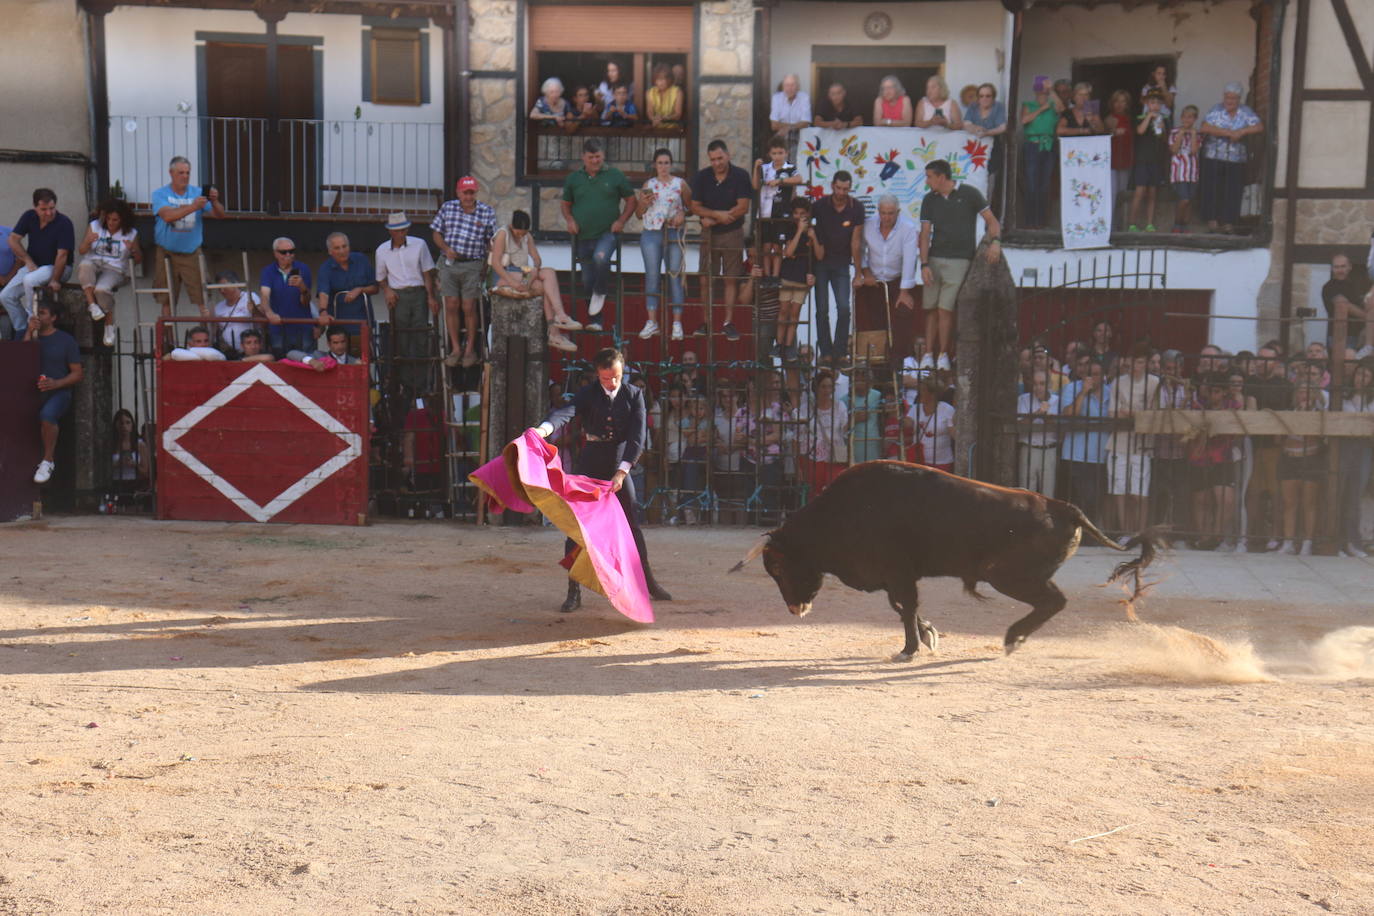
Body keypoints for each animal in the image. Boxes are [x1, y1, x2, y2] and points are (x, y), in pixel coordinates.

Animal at [730, 466, 1159, 659]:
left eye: (779, 569)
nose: (794, 608)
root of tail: (1063, 507)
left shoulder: (898, 573)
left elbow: (905, 607)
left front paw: (909, 648)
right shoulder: (895, 577)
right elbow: (904, 607)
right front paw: (927, 636)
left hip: (1009, 576)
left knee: (1054, 601)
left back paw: (1013, 638)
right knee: (1052, 602)